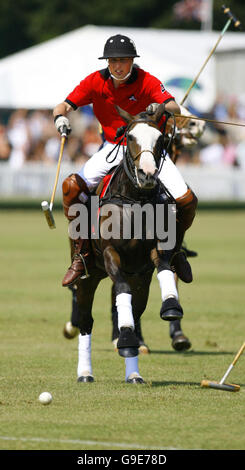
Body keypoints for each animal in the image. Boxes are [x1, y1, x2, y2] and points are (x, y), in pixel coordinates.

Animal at [71, 103, 184, 382]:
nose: (147, 174)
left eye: (161, 139)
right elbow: (121, 288)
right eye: (130, 137)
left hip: (138, 278)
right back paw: (85, 372)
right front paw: (124, 339)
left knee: (136, 308)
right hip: (88, 276)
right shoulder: (111, 253)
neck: (135, 199)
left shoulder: (151, 257)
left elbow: (164, 267)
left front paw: (171, 305)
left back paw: (133, 372)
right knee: (85, 321)